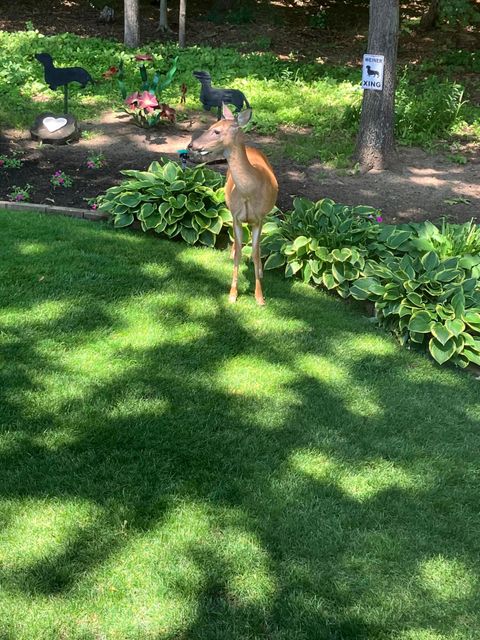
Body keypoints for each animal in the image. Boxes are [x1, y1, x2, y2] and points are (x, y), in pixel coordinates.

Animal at [188, 104, 278, 306]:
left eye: (216, 131)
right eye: (211, 125)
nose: (191, 145)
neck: (249, 191)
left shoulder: (259, 218)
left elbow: (254, 252)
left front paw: (260, 297)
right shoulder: (236, 216)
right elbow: (238, 254)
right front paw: (232, 294)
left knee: (258, 246)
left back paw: (260, 270)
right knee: (237, 245)